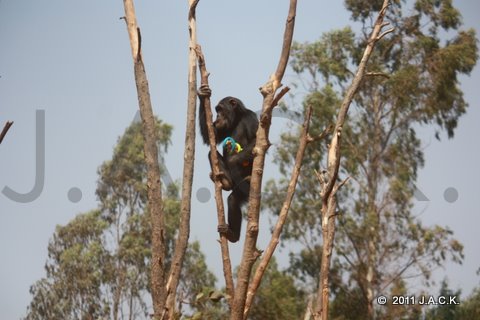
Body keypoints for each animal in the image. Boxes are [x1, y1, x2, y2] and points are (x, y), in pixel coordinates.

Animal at [197, 85, 258, 242]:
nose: (217, 116)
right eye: (216, 110)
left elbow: (257, 141)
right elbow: (211, 136)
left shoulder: (251, 118)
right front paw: (202, 94)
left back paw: (233, 235)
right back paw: (226, 182)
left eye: (220, 109)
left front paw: (232, 159)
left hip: (247, 185)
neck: (237, 119)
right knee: (210, 153)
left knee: (233, 199)